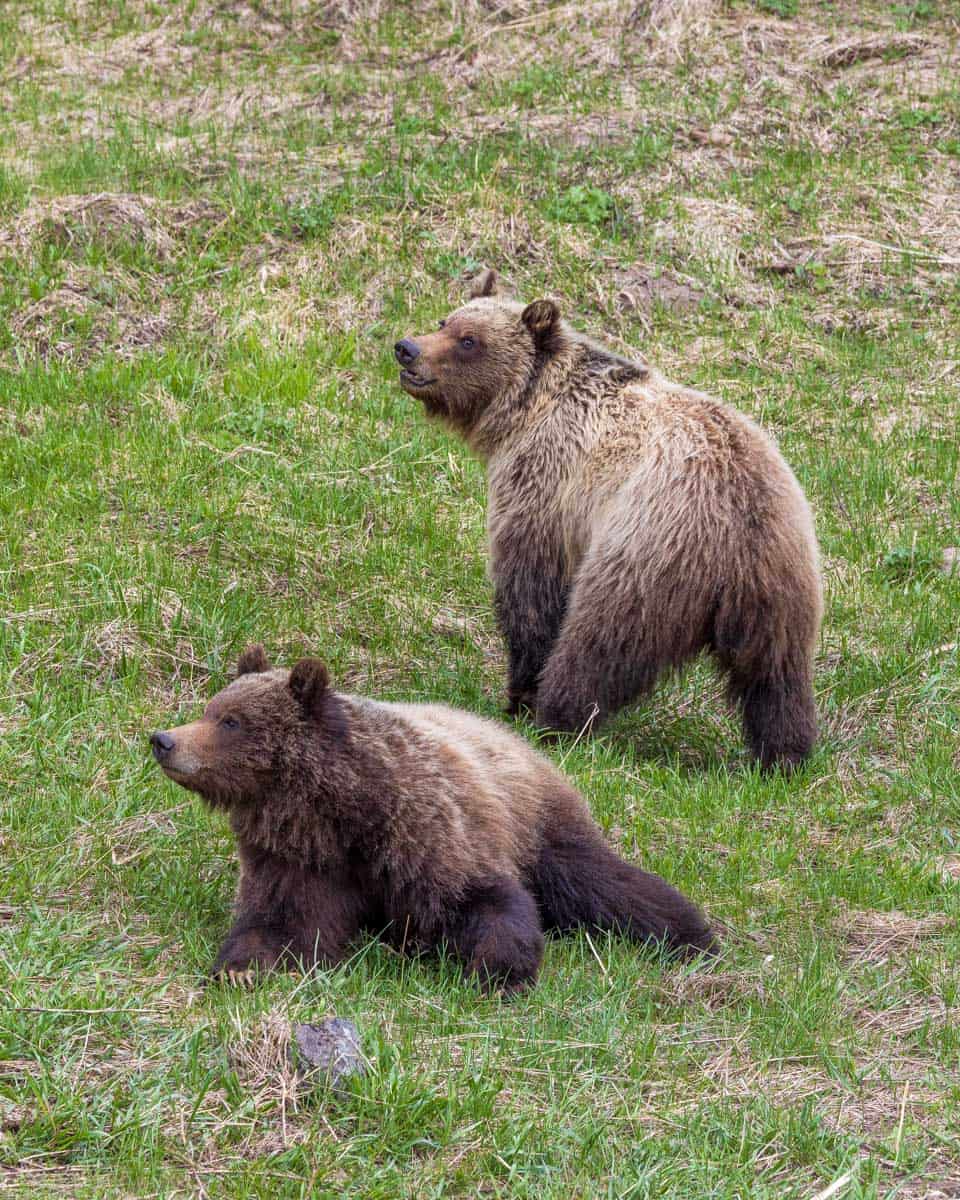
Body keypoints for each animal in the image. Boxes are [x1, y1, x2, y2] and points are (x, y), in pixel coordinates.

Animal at [150, 645, 715, 992]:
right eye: (210, 709)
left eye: (230, 721)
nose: (164, 739)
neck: (336, 813)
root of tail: (522, 742)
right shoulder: (300, 858)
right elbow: (284, 922)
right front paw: (241, 968)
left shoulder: (423, 828)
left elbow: (481, 898)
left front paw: (497, 973)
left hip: (536, 820)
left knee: (597, 883)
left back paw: (689, 934)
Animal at [394, 269, 823, 770]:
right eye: (445, 320)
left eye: (468, 340)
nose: (407, 348)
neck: (524, 410)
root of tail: (741, 526)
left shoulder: (545, 484)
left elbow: (530, 591)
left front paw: (518, 693)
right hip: (783, 586)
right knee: (776, 677)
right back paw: (783, 756)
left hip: (647, 555)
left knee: (599, 643)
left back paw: (555, 720)